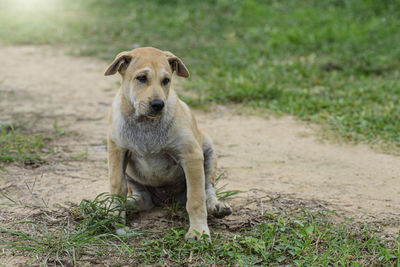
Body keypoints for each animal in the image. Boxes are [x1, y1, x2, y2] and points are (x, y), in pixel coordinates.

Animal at [104, 47, 233, 240]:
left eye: (166, 81)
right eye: (141, 78)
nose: (158, 104)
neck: (145, 123)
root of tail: (165, 200)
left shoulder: (191, 155)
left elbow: (196, 198)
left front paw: (198, 231)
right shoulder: (117, 151)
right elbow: (117, 186)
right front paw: (117, 223)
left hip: (208, 153)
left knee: (207, 188)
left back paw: (216, 205)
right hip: (132, 173)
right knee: (144, 199)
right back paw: (128, 203)